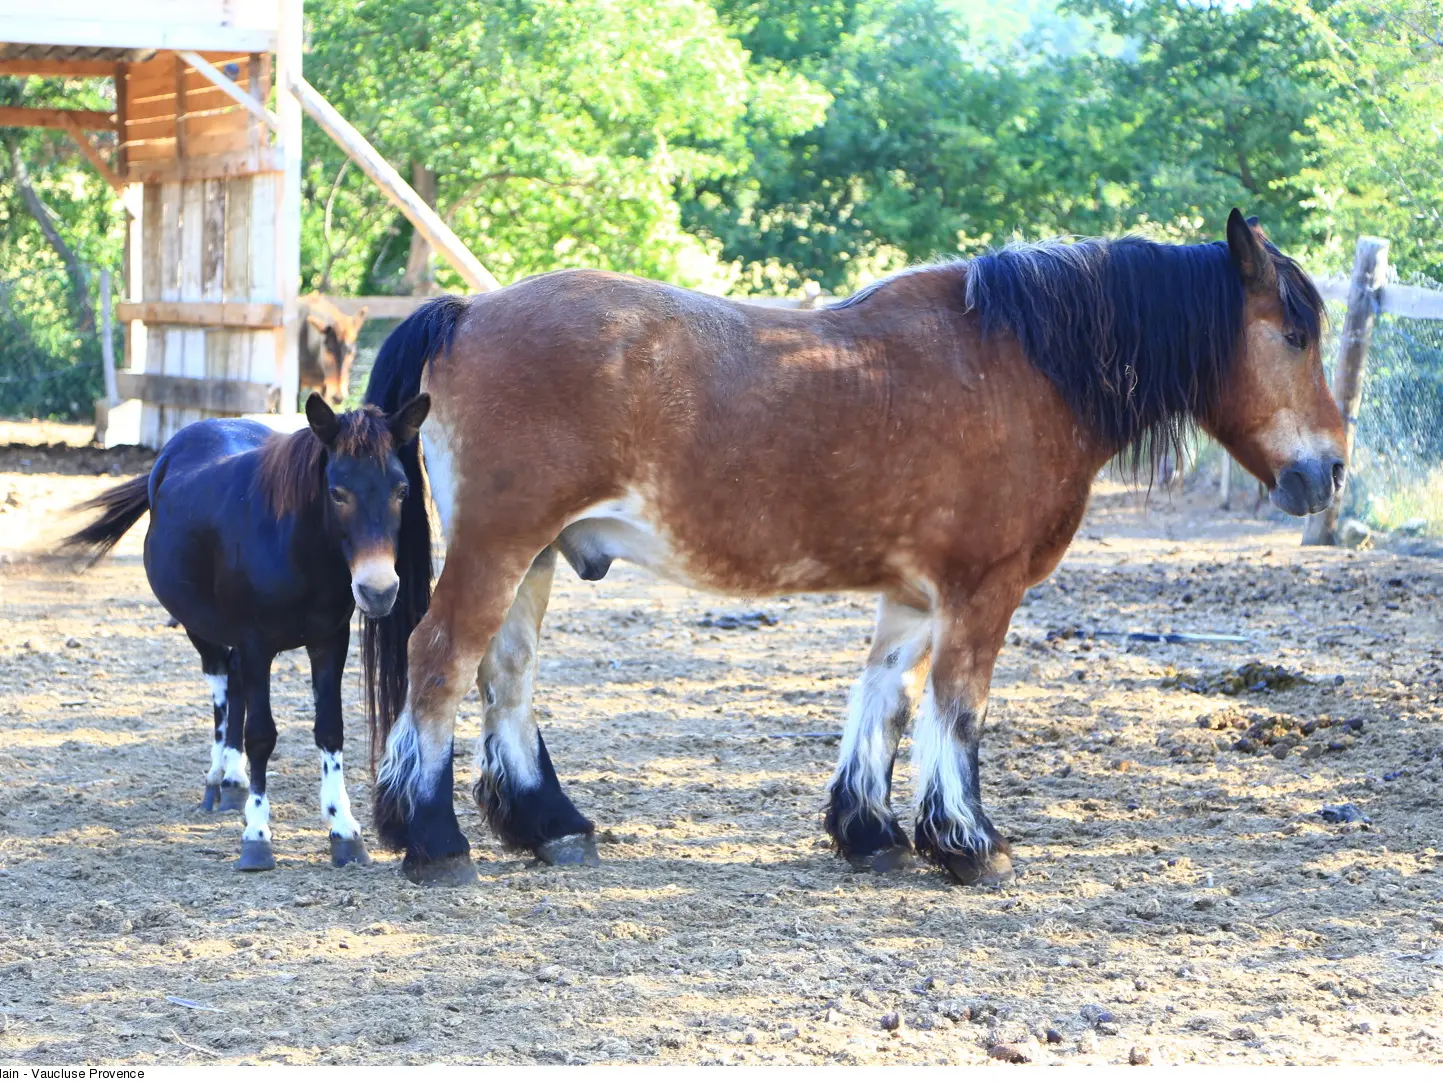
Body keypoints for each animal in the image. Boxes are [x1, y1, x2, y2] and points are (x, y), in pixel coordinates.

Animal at [63, 395, 427, 871]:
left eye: (401, 490)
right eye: (337, 492)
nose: (378, 590)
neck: (297, 550)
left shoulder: (329, 641)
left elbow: (330, 729)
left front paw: (344, 830)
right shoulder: (258, 644)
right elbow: (261, 735)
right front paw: (256, 836)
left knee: (234, 687)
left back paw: (233, 782)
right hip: (201, 626)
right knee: (222, 684)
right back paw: (218, 778)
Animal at [357, 209, 1339, 888]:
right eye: (1294, 334)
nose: (1327, 470)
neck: (1019, 368)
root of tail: (467, 312)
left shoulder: (913, 595)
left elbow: (886, 703)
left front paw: (870, 833)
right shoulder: (980, 592)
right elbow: (957, 711)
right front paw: (970, 844)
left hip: (535, 558)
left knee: (505, 674)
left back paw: (548, 825)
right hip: (498, 548)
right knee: (440, 660)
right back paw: (434, 840)